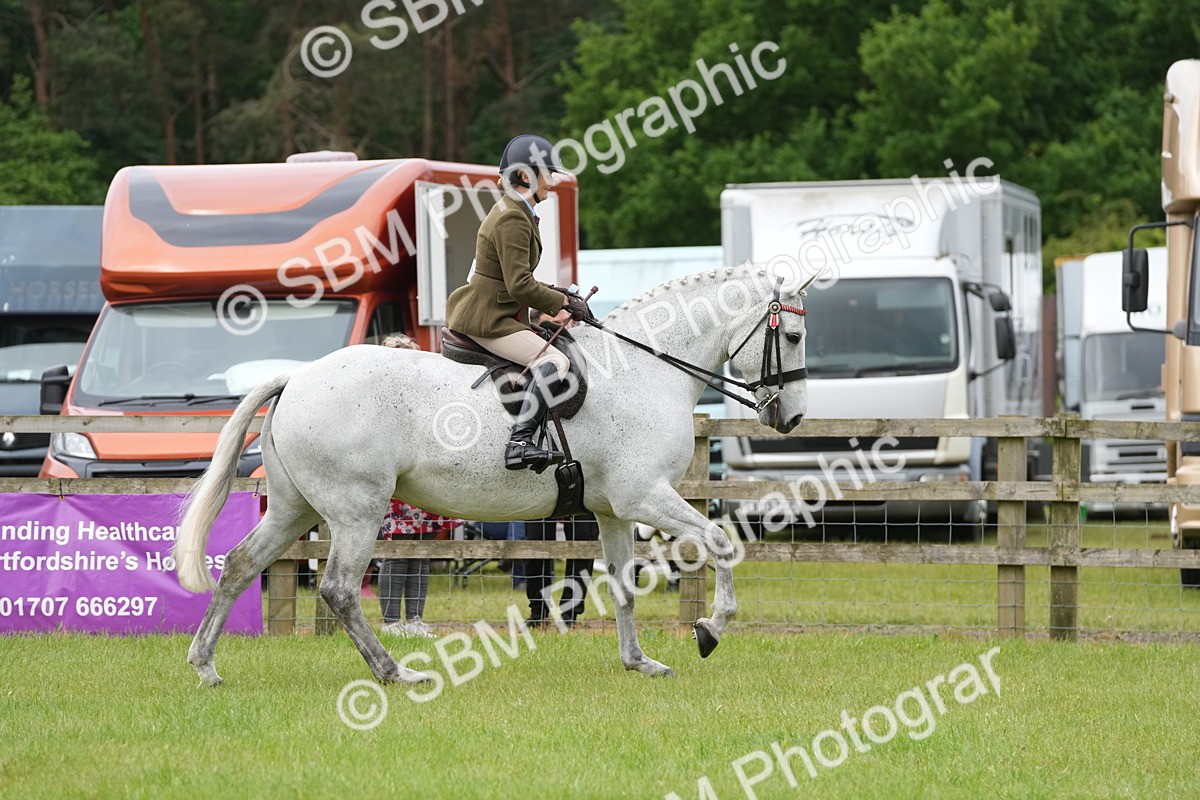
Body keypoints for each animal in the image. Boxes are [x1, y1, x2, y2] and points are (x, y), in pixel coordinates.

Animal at [174, 262, 812, 686]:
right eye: (795, 335)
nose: (792, 417)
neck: (643, 370)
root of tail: (298, 377)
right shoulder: (646, 498)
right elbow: (721, 542)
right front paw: (711, 629)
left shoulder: (613, 511)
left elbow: (623, 586)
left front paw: (639, 662)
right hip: (357, 511)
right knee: (338, 589)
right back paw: (395, 673)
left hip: (293, 509)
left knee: (240, 565)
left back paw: (205, 666)